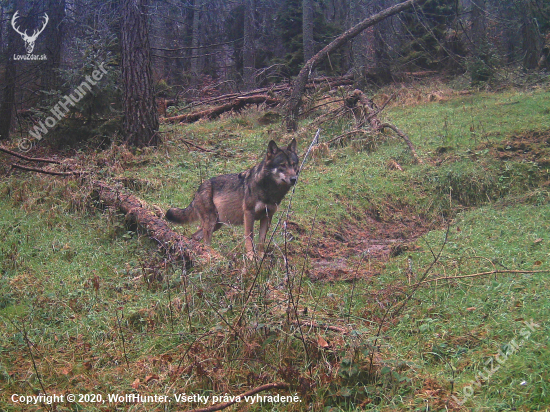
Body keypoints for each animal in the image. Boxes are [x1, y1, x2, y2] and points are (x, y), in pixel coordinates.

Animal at [166, 139, 300, 258]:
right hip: (211, 222)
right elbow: (249, 237)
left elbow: (261, 241)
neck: (269, 190)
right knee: (206, 242)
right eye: (282, 165)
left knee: (195, 236)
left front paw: (261, 259)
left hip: (217, 224)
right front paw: (251, 258)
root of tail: (198, 190)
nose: (294, 179)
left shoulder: (267, 216)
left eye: (294, 165)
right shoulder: (249, 213)